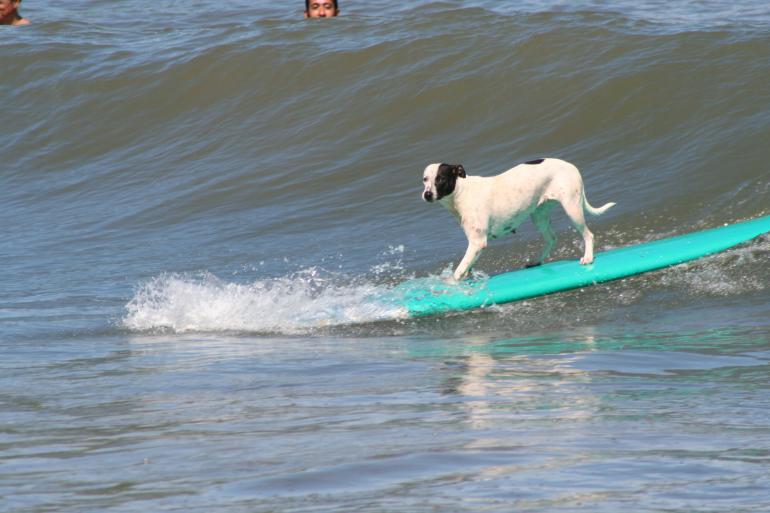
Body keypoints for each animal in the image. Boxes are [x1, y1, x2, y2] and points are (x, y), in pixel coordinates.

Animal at [420, 158, 612, 282]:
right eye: (425, 179)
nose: (427, 194)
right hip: (539, 216)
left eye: (440, 179)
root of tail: (571, 165)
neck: (461, 193)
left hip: (572, 209)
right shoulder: (475, 246)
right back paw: (537, 261)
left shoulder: (477, 243)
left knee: (588, 235)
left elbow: (459, 271)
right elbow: (466, 266)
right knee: (551, 239)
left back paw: (588, 257)